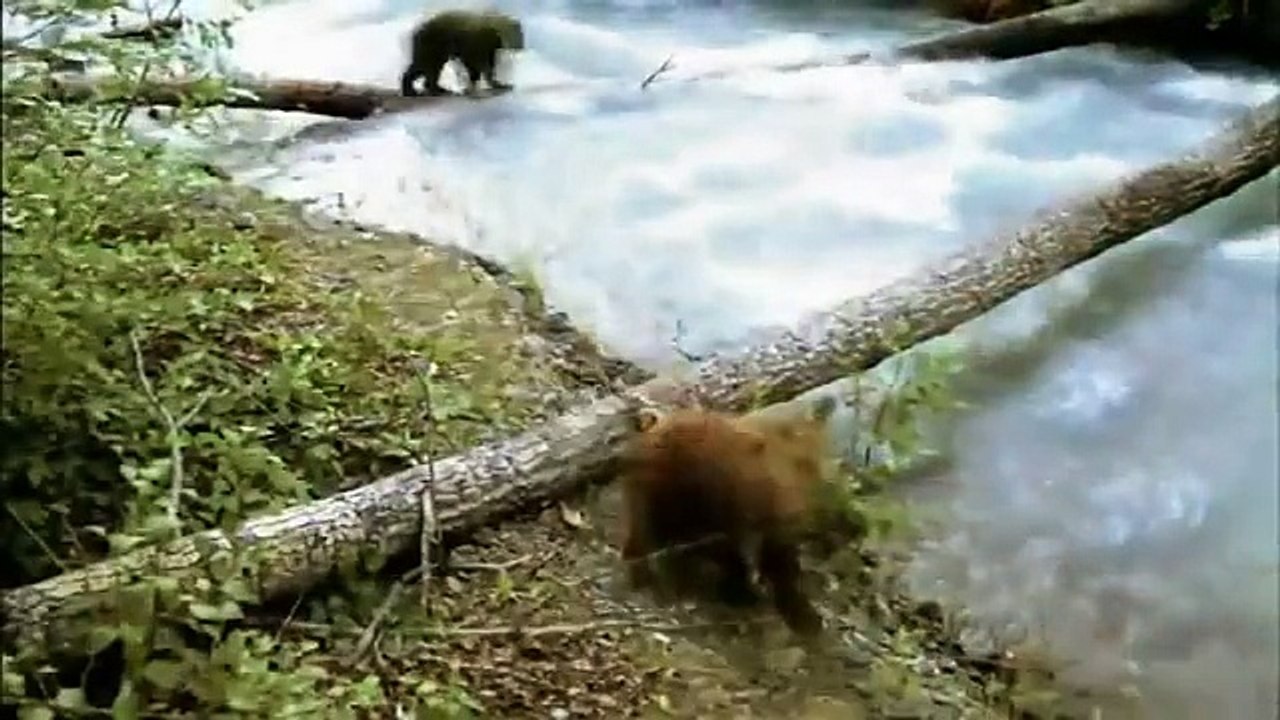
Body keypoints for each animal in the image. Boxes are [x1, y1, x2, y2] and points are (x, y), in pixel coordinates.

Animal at [616, 394, 838, 638]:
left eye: (810, 467)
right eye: (775, 477)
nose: (797, 513)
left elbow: (781, 567)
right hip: (660, 500)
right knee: (645, 537)